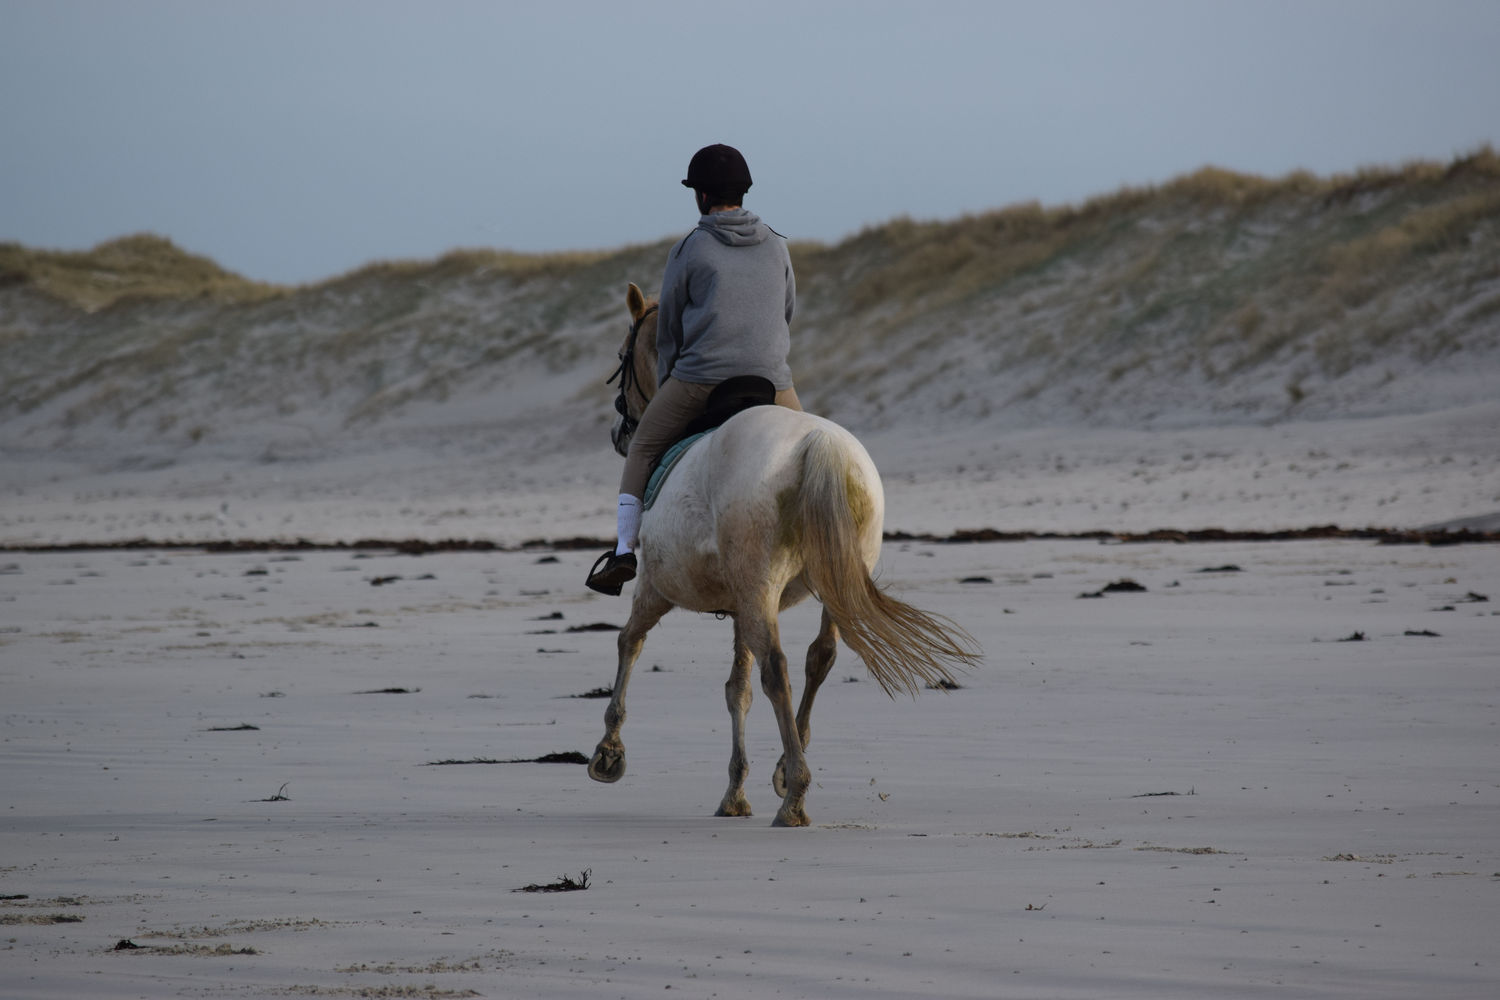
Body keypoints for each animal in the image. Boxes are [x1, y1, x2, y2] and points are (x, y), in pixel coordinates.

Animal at [585, 283, 984, 827]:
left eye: (623, 355)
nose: (619, 433)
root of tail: (817, 442)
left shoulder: (657, 586)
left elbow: (630, 643)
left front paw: (609, 752)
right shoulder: (739, 607)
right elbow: (738, 689)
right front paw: (735, 792)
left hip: (752, 588)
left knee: (778, 667)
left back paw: (794, 794)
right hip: (826, 582)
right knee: (820, 657)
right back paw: (786, 769)